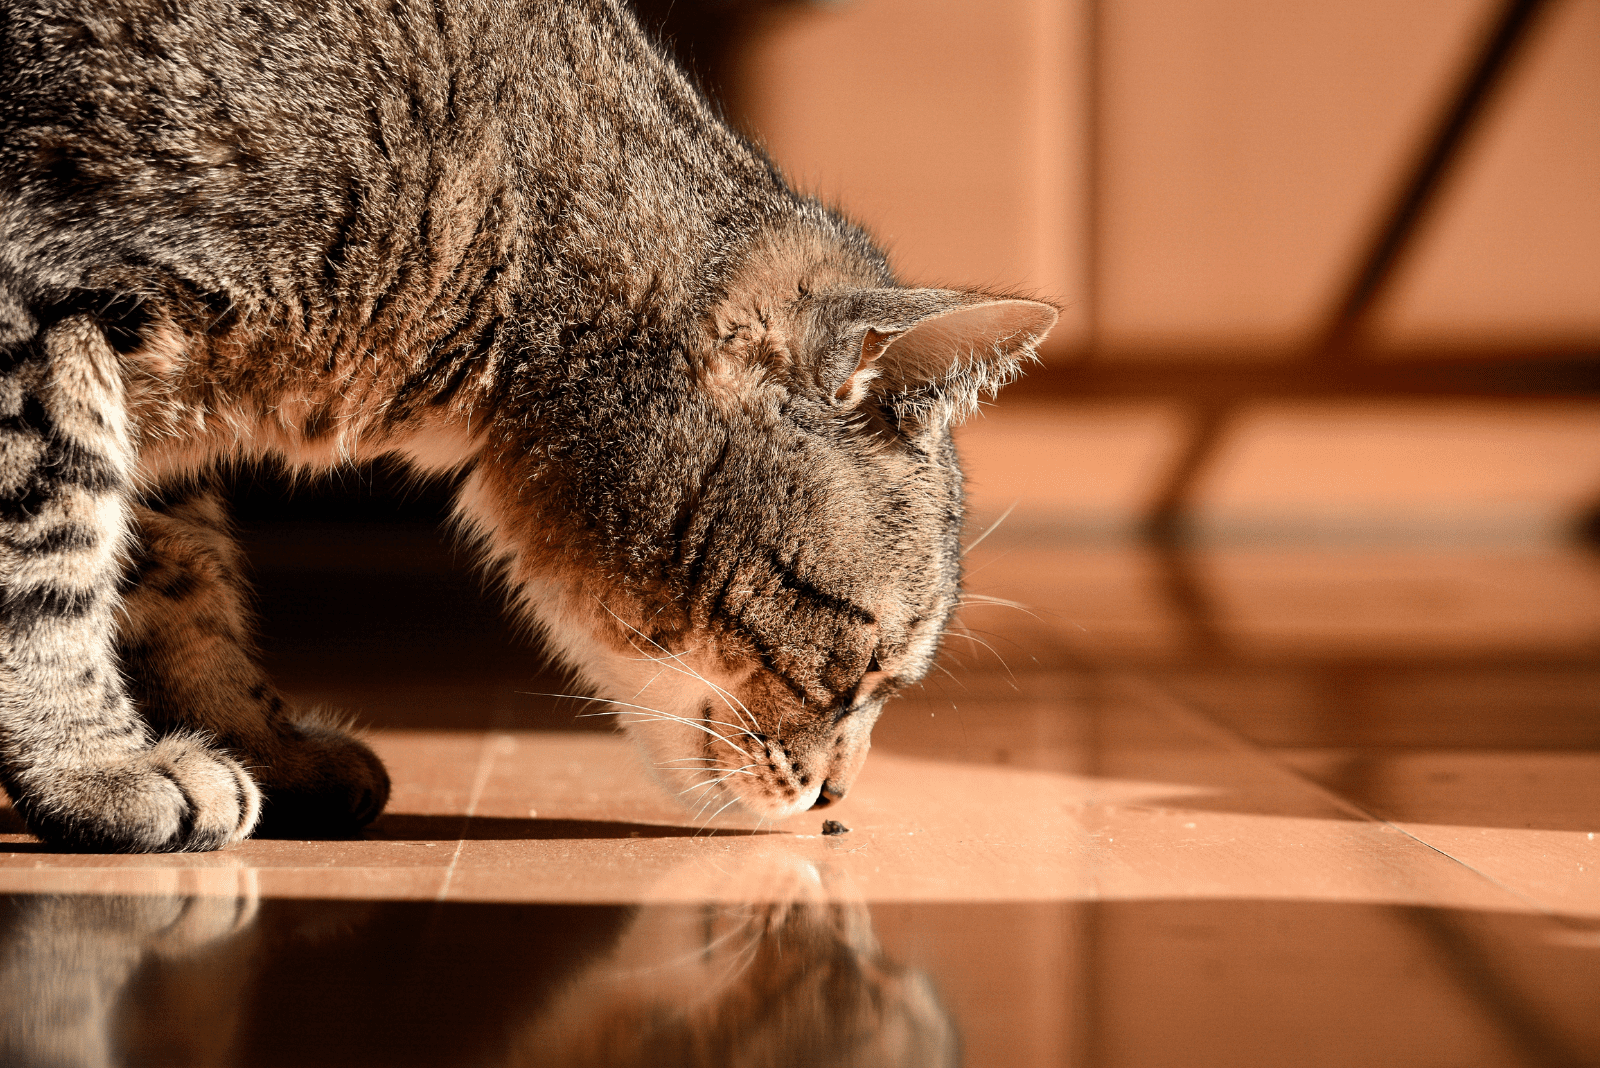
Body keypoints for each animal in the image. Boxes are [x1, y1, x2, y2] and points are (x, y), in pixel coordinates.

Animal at [0, 0, 1056, 850]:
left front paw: (252, 740)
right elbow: (50, 564)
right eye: (867, 660)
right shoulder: (39, 316)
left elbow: (185, 583)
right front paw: (93, 768)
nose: (838, 794)